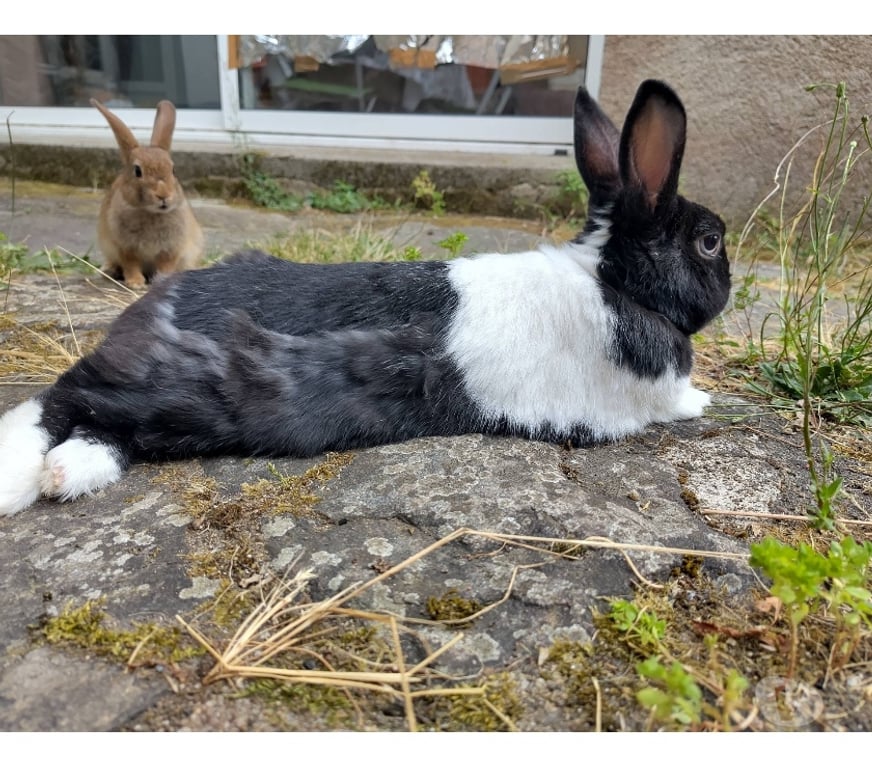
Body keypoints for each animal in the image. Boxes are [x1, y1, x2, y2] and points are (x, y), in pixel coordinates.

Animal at [92, 98, 204, 289]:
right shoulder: (125, 248)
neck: (151, 212)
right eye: (137, 171)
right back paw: (109, 271)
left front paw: (161, 280)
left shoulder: (171, 248)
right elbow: (131, 265)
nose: (163, 195)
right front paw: (135, 283)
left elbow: (166, 265)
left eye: (173, 170)